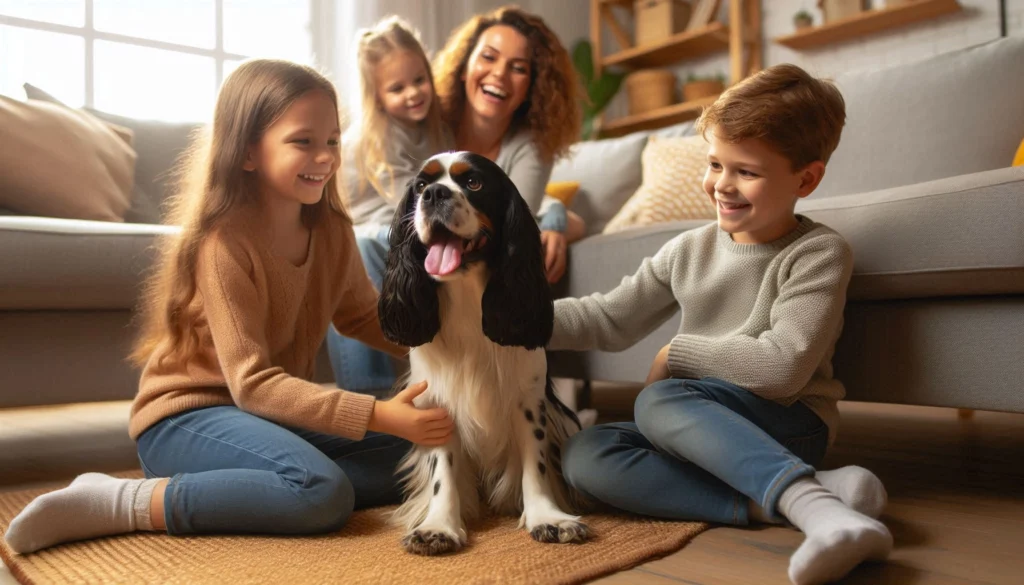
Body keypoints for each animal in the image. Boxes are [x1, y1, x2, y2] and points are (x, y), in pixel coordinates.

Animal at [378, 150, 589, 553]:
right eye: (421, 185)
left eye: (473, 183)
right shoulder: (438, 402)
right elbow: (443, 470)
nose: (434, 195)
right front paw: (439, 526)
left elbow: (535, 463)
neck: (466, 298)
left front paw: (547, 518)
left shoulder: (529, 400)